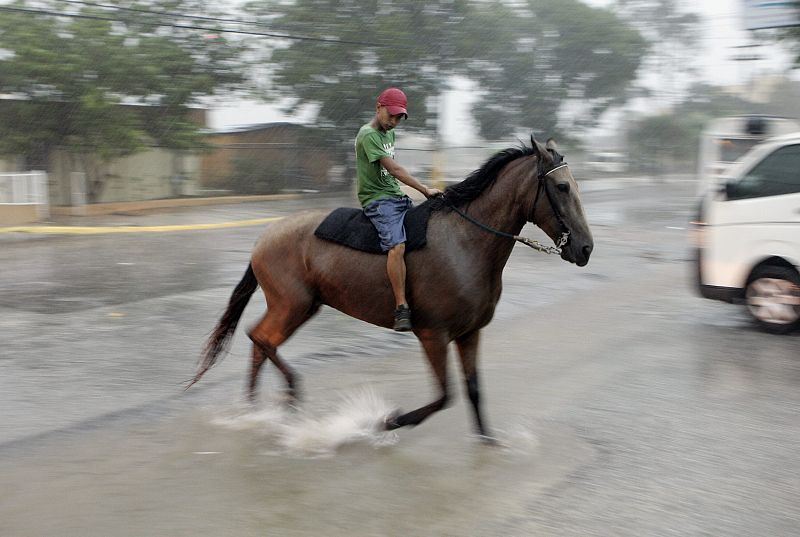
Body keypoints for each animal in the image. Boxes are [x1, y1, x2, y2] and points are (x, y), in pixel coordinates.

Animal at [186, 137, 588, 440]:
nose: (585, 248)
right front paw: (388, 421)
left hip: (301, 306)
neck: (466, 240)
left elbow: (473, 391)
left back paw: (255, 408)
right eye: (562, 186)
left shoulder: (469, 333)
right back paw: (289, 394)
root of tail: (264, 238)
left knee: (259, 343)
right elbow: (444, 396)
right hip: (292, 305)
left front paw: (488, 442)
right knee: (261, 339)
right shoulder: (433, 334)